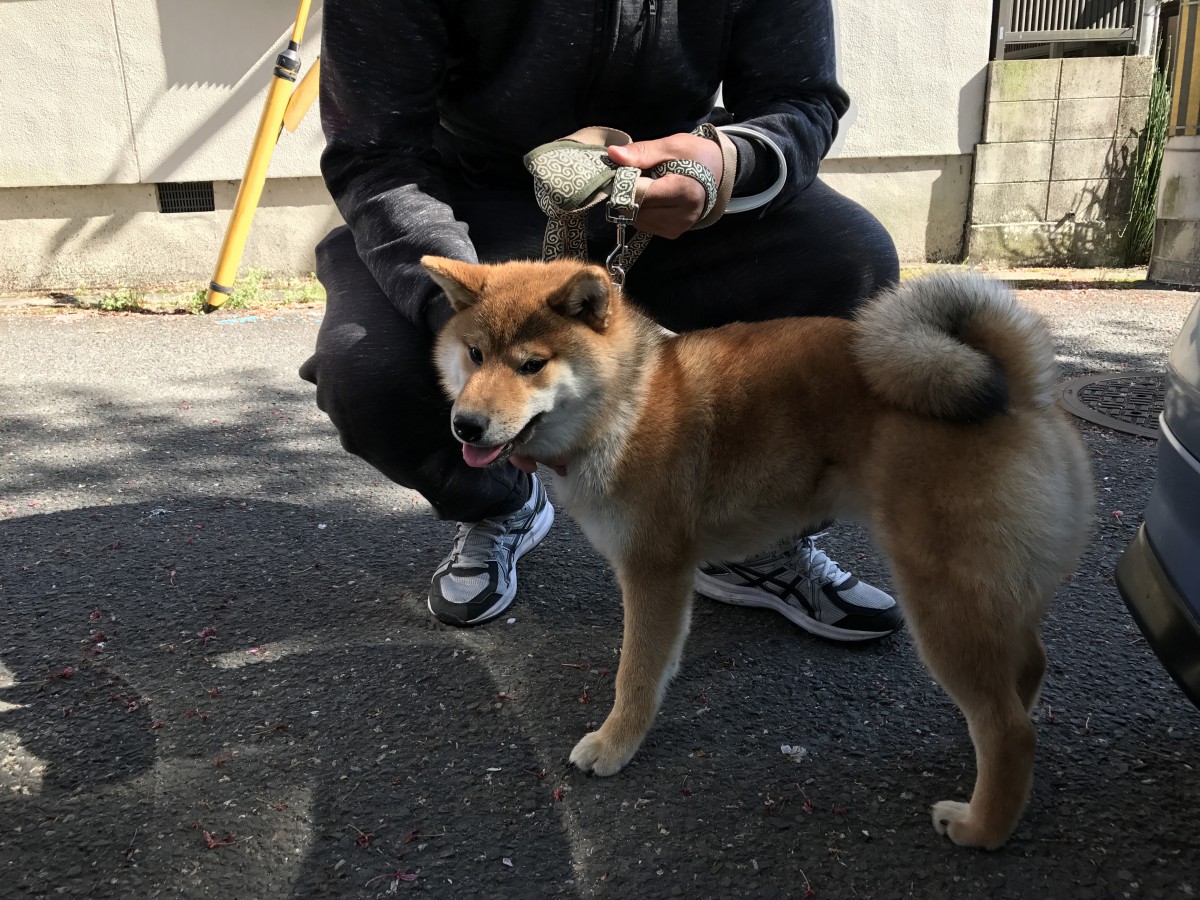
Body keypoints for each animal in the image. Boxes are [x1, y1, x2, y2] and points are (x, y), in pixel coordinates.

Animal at [424, 255, 1099, 854]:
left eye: (532, 364)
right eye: (475, 355)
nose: (465, 426)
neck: (626, 402)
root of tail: (1020, 385)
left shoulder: (653, 569)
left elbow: (635, 674)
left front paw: (615, 743)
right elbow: (656, 662)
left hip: (942, 601)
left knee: (1010, 730)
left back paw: (982, 826)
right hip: (993, 591)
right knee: (1025, 673)